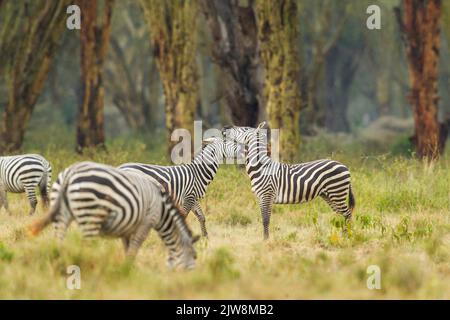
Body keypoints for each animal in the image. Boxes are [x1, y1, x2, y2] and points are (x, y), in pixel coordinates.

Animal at [27, 161, 198, 268]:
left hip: (62, 214)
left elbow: (127, 247)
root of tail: (70, 173)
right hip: (89, 215)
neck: (162, 209)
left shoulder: (128, 226)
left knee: (58, 239)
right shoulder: (146, 223)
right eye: (194, 257)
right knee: (86, 244)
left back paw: (60, 260)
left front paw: (127, 267)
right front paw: (128, 268)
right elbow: (134, 247)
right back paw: (87, 263)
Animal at [221, 122, 356, 240]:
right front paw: (265, 239)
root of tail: (344, 166)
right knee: (342, 214)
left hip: (337, 192)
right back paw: (342, 235)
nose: (225, 127)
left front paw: (265, 240)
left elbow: (266, 220)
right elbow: (264, 219)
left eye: (244, 129)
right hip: (329, 195)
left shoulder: (267, 195)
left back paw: (348, 237)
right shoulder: (261, 198)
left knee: (347, 214)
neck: (260, 168)